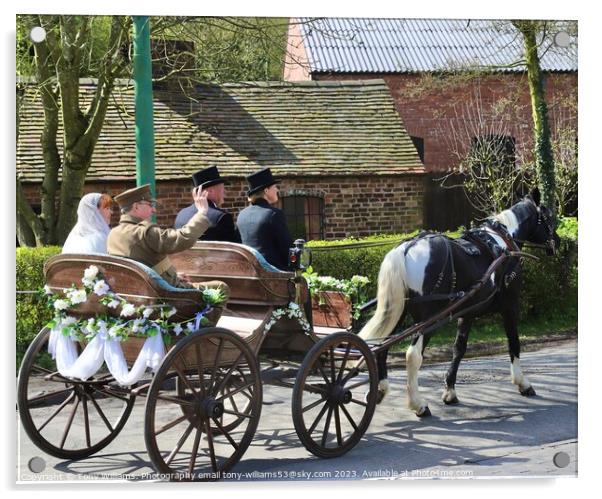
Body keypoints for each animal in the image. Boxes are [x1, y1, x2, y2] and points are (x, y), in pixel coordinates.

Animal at [356, 191, 556, 418]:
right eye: (549, 218)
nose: (557, 242)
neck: (504, 241)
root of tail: (407, 247)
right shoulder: (510, 306)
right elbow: (514, 342)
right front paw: (523, 383)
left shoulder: (467, 312)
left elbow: (459, 349)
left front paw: (450, 391)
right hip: (428, 318)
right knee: (413, 355)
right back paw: (418, 404)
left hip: (398, 312)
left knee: (382, 347)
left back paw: (380, 390)